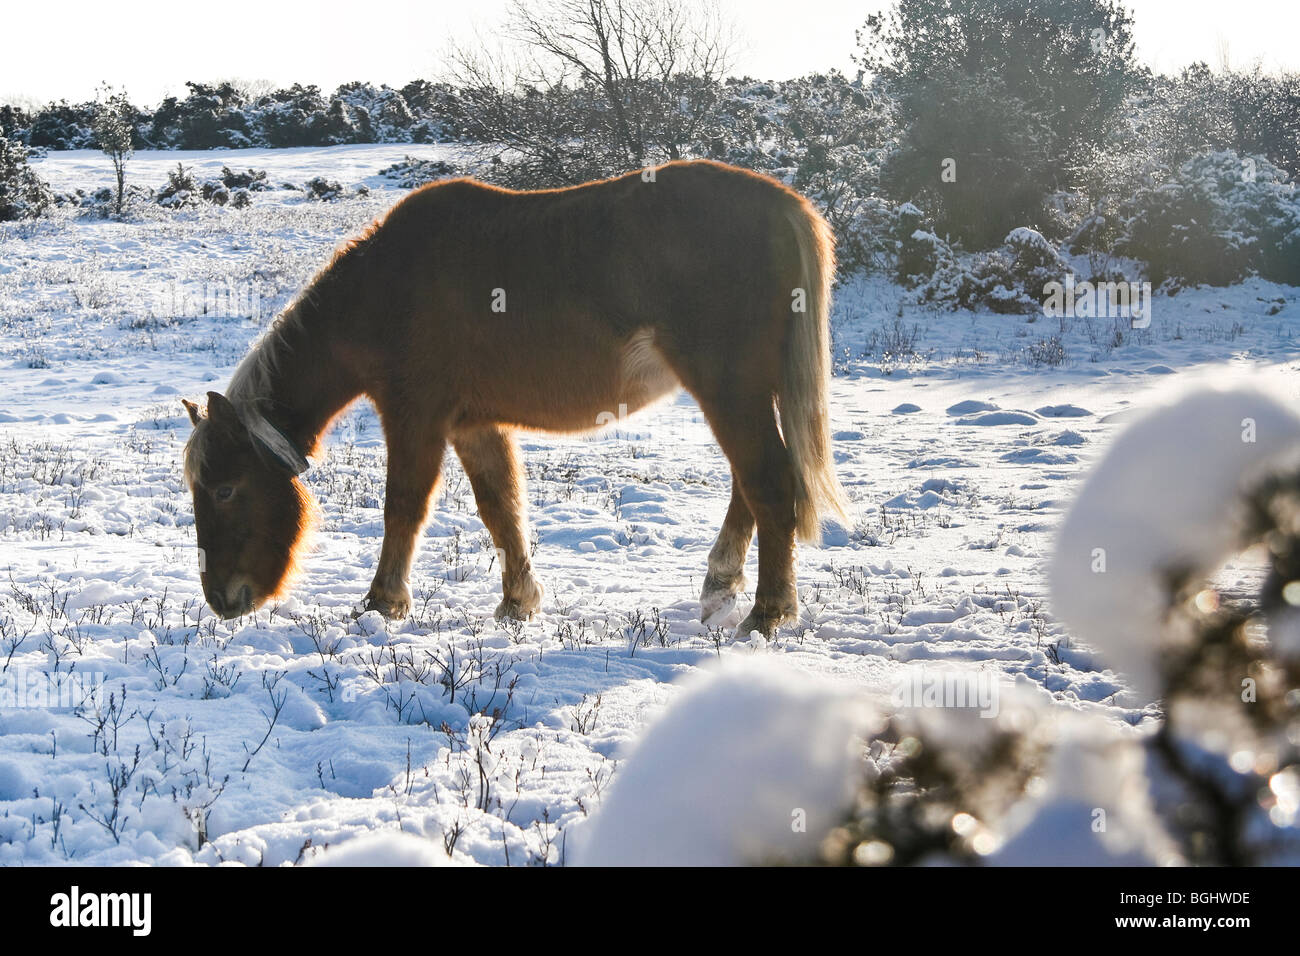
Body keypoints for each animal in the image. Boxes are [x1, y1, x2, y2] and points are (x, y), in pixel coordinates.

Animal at [188, 158, 847, 634]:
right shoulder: (473, 425)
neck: (385, 288)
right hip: (739, 392)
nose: (221, 599)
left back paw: (766, 613)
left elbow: (404, 506)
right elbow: (501, 509)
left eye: (225, 489)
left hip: (730, 389)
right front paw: (518, 603)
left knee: (769, 483)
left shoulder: (415, 418)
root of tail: (784, 205)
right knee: (750, 483)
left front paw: (381, 603)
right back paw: (722, 586)